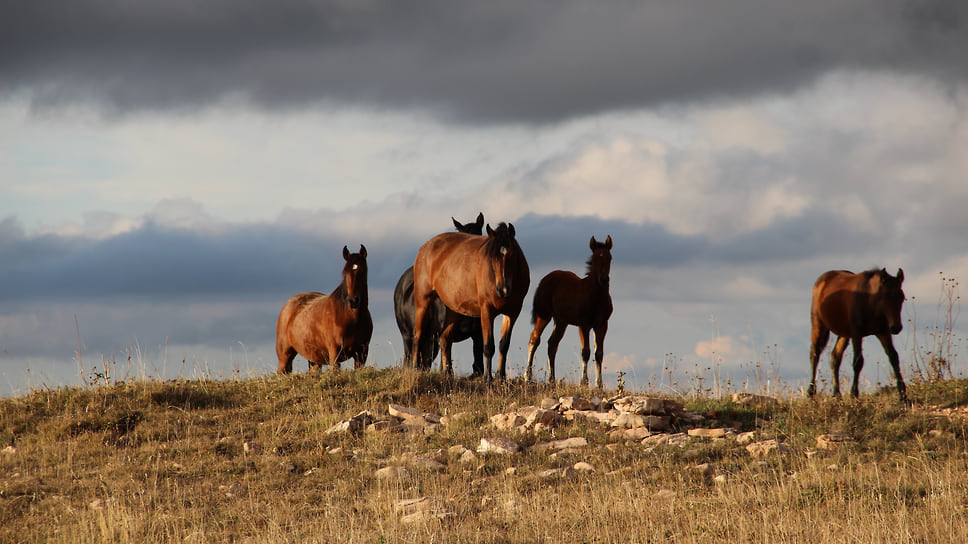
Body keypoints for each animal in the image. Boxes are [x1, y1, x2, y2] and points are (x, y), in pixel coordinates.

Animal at [280, 245, 374, 374]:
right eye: (345, 273)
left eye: (362, 271)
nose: (353, 301)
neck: (349, 317)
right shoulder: (335, 353)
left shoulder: (361, 353)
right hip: (285, 357)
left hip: (314, 360)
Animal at [408, 223, 528, 380]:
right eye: (492, 258)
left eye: (511, 256)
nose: (502, 290)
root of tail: (426, 246)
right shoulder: (486, 311)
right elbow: (488, 346)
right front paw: (488, 379)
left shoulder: (513, 312)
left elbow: (504, 345)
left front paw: (501, 377)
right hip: (423, 301)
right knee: (418, 335)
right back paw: (415, 369)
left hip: (453, 309)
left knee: (445, 338)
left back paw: (447, 373)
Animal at [524, 234, 616, 386]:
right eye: (595, 258)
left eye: (610, 258)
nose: (604, 280)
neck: (595, 297)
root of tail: (544, 280)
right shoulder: (584, 325)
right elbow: (585, 352)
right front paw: (584, 382)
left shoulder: (602, 325)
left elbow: (599, 354)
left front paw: (599, 385)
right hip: (544, 316)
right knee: (534, 339)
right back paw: (528, 377)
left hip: (561, 321)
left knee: (552, 344)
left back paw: (551, 379)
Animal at [808, 268, 908, 400]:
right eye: (885, 297)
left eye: (901, 297)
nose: (896, 328)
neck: (870, 303)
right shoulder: (857, 334)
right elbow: (858, 361)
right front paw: (854, 394)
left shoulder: (883, 332)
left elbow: (893, 357)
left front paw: (903, 395)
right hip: (818, 326)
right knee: (815, 355)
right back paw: (811, 392)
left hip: (844, 334)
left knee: (835, 356)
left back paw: (837, 394)